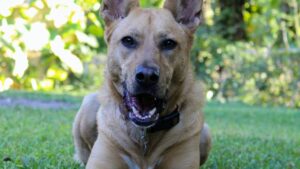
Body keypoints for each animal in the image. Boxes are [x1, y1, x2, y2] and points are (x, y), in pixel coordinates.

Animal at [73, 0, 212, 168]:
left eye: (169, 43)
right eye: (128, 40)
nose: (147, 77)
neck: (144, 135)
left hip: (206, 133)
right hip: (89, 106)